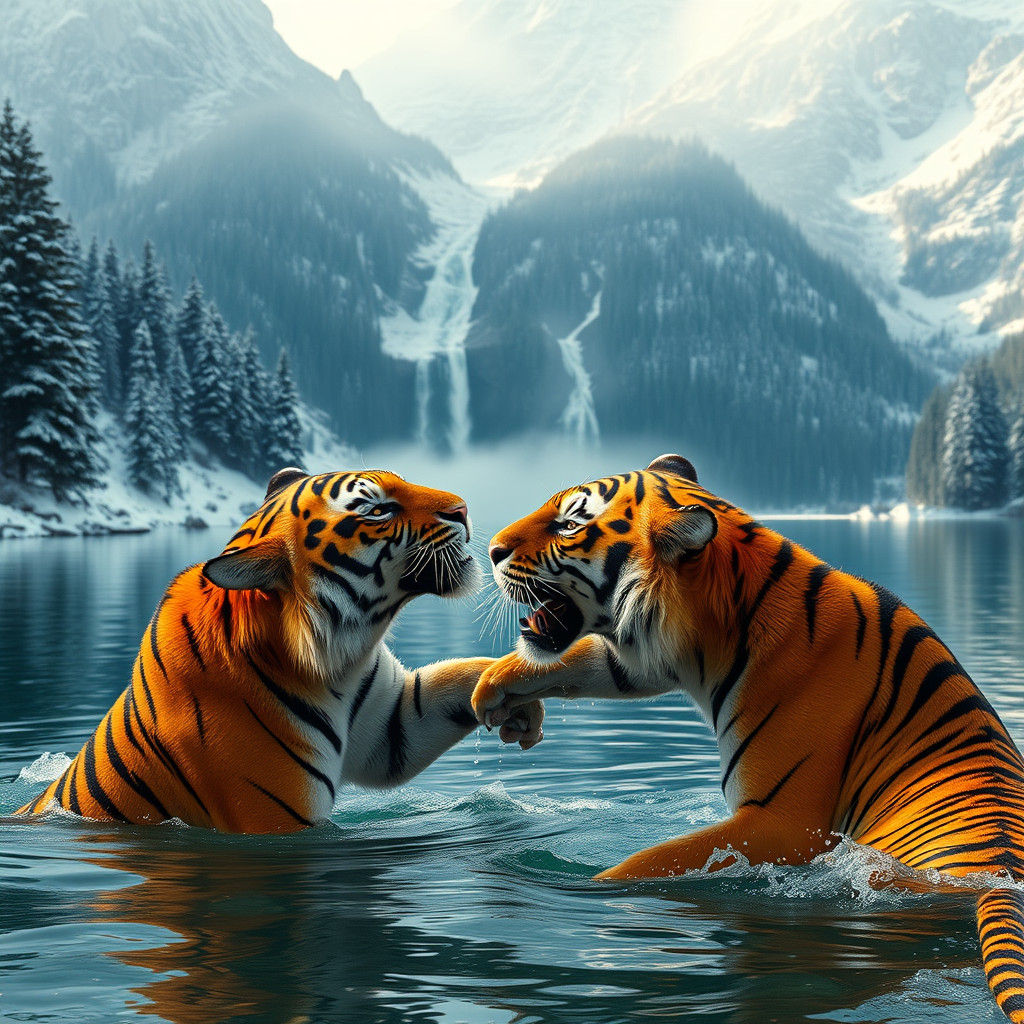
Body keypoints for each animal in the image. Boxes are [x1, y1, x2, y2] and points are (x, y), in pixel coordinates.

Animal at [17, 467, 543, 833]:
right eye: (376, 510)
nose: (463, 509)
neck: (335, 662)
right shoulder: (275, 821)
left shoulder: (392, 723)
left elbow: (459, 678)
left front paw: (514, 698)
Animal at [471, 453, 1024, 1023]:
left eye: (570, 524)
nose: (490, 549)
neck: (717, 630)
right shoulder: (648, 660)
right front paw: (494, 687)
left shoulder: (782, 824)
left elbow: (649, 863)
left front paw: (580, 886)